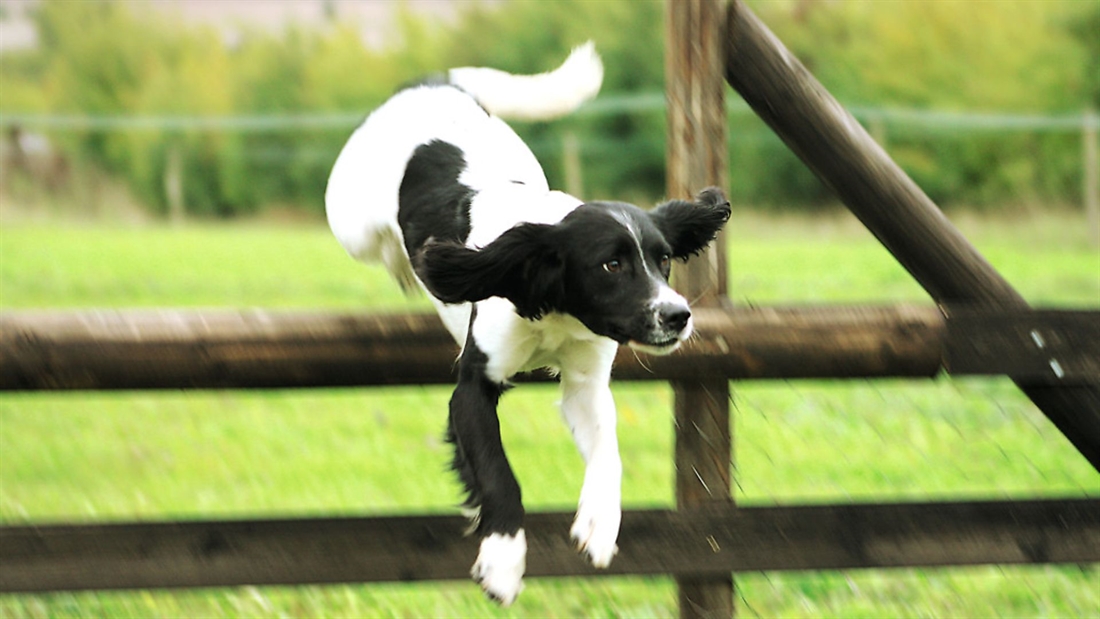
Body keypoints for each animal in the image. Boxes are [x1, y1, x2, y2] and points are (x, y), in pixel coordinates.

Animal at [325, 43, 730, 606]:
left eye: (664, 259)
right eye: (611, 264)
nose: (677, 315)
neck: (552, 307)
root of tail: (431, 84)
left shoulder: (585, 383)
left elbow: (608, 454)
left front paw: (599, 527)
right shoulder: (474, 385)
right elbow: (497, 473)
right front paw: (502, 560)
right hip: (351, 220)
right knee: (377, 244)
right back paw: (405, 266)